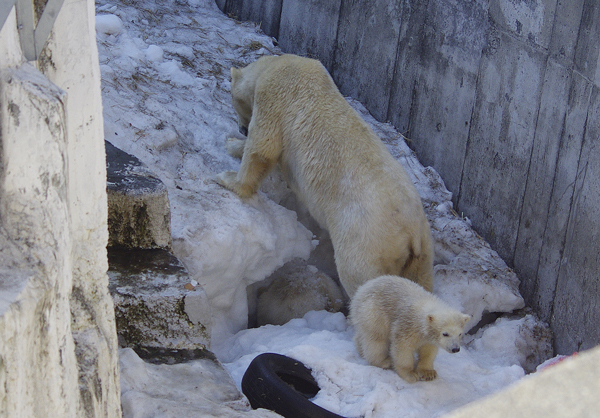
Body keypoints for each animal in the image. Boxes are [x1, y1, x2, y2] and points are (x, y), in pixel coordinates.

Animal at [218, 54, 434, 298]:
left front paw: (230, 170)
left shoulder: (274, 93)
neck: (275, 64)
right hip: (423, 255)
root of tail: (411, 234)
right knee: (422, 282)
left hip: (366, 242)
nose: (241, 128)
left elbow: (263, 147)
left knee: (360, 277)